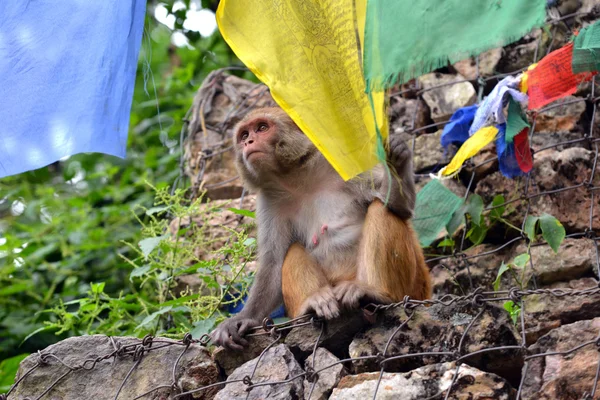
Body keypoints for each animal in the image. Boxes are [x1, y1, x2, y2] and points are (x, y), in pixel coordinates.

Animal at [209, 107, 428, 350]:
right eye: (244, 135)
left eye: (262, 128)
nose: (249, 142)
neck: (296, 177)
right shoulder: (269, 200)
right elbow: (273, 263)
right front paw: (243, 318)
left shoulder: (340, 165)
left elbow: (398, 206)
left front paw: (396, 161)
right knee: (292, 249)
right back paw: (313, 304)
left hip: (415, 286)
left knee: (381, 209)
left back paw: (375, 293)